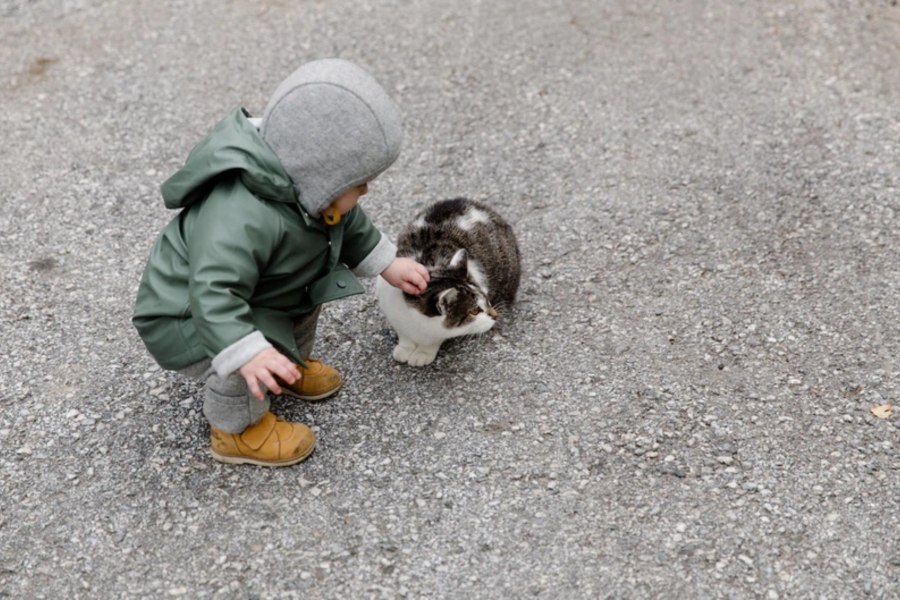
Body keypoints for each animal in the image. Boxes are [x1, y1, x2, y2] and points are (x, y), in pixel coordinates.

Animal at [376, 198, 524, 366]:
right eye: (474, 311)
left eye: (486, 299)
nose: (495, 315)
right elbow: (404, 334)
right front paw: (405, 347)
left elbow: (435, 338)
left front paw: (423, 352)